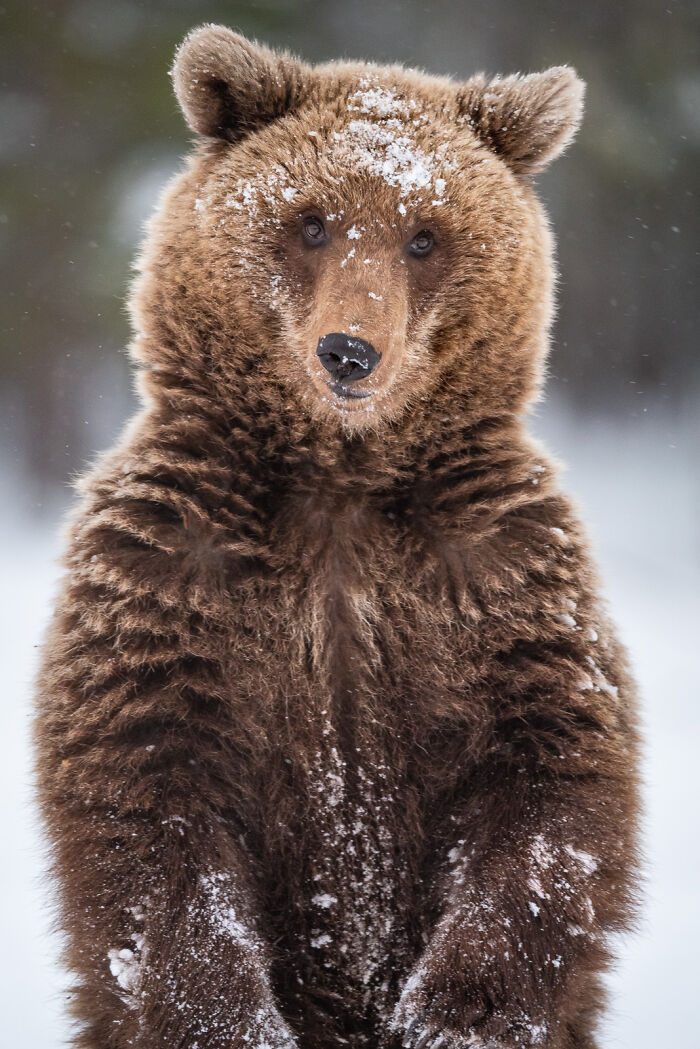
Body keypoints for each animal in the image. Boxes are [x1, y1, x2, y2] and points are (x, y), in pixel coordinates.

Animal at [34, 23, 641, 1049]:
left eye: (425, 234)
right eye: (312, 221)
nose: (349, 350)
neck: (340, 482)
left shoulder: (496, 570)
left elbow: (548, 782)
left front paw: (456, 1013)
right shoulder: (172, 569)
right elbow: (154, 815)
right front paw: (232, 1021)